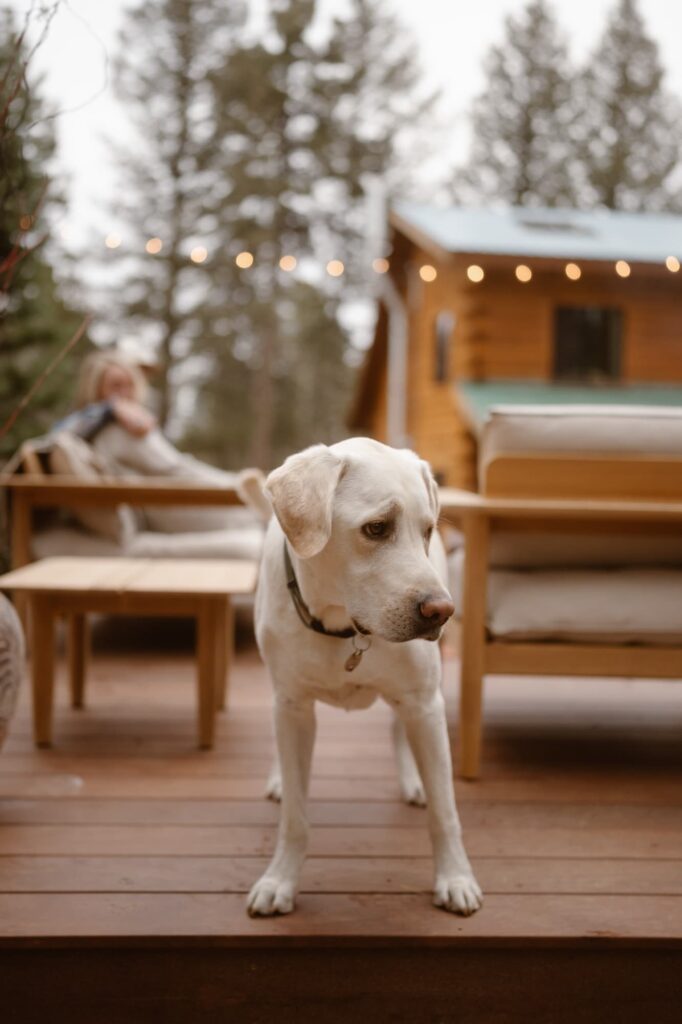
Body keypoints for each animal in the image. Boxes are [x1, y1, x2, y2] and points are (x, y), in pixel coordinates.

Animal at [246, 440, 481, 921]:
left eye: (427, 530)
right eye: (376, 528)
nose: (442, 612)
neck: (344, 627)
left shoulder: (424, 702)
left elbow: (445, 811)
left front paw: (455, 878)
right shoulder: (293, 705)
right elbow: (295, 817)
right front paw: (280, 880)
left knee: (401, 730)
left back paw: (414, 780)